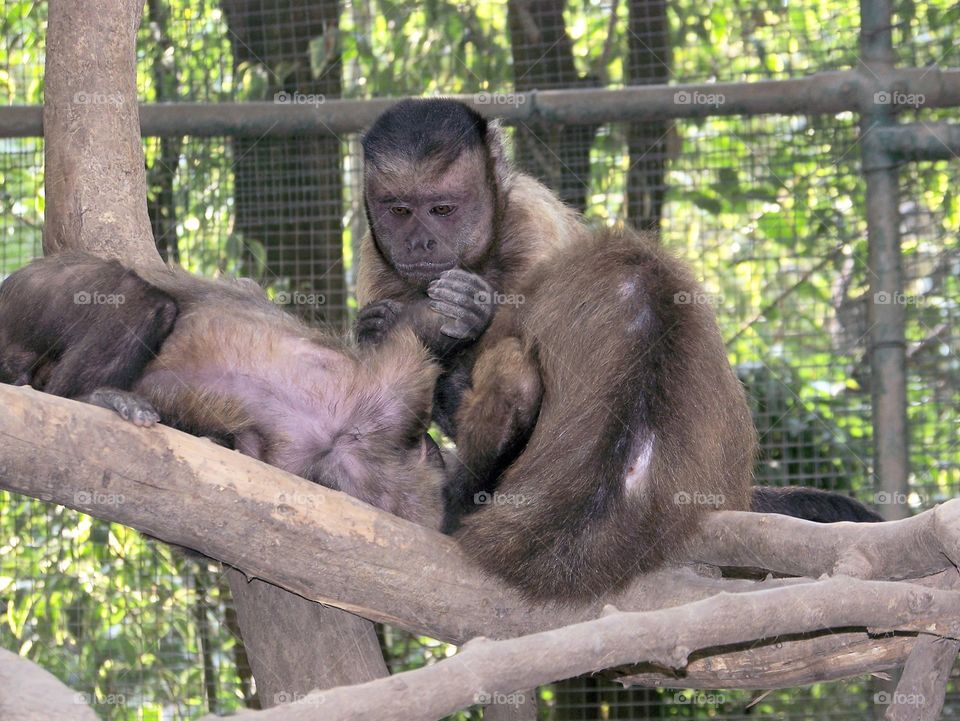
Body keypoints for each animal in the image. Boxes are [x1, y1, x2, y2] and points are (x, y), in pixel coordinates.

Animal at [0, 252, 444, 528]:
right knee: (145, 302)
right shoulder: (398, 390)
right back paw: (88, 395)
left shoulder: (302, 463)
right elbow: (415, 327)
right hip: (40, 290)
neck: (347, 435)